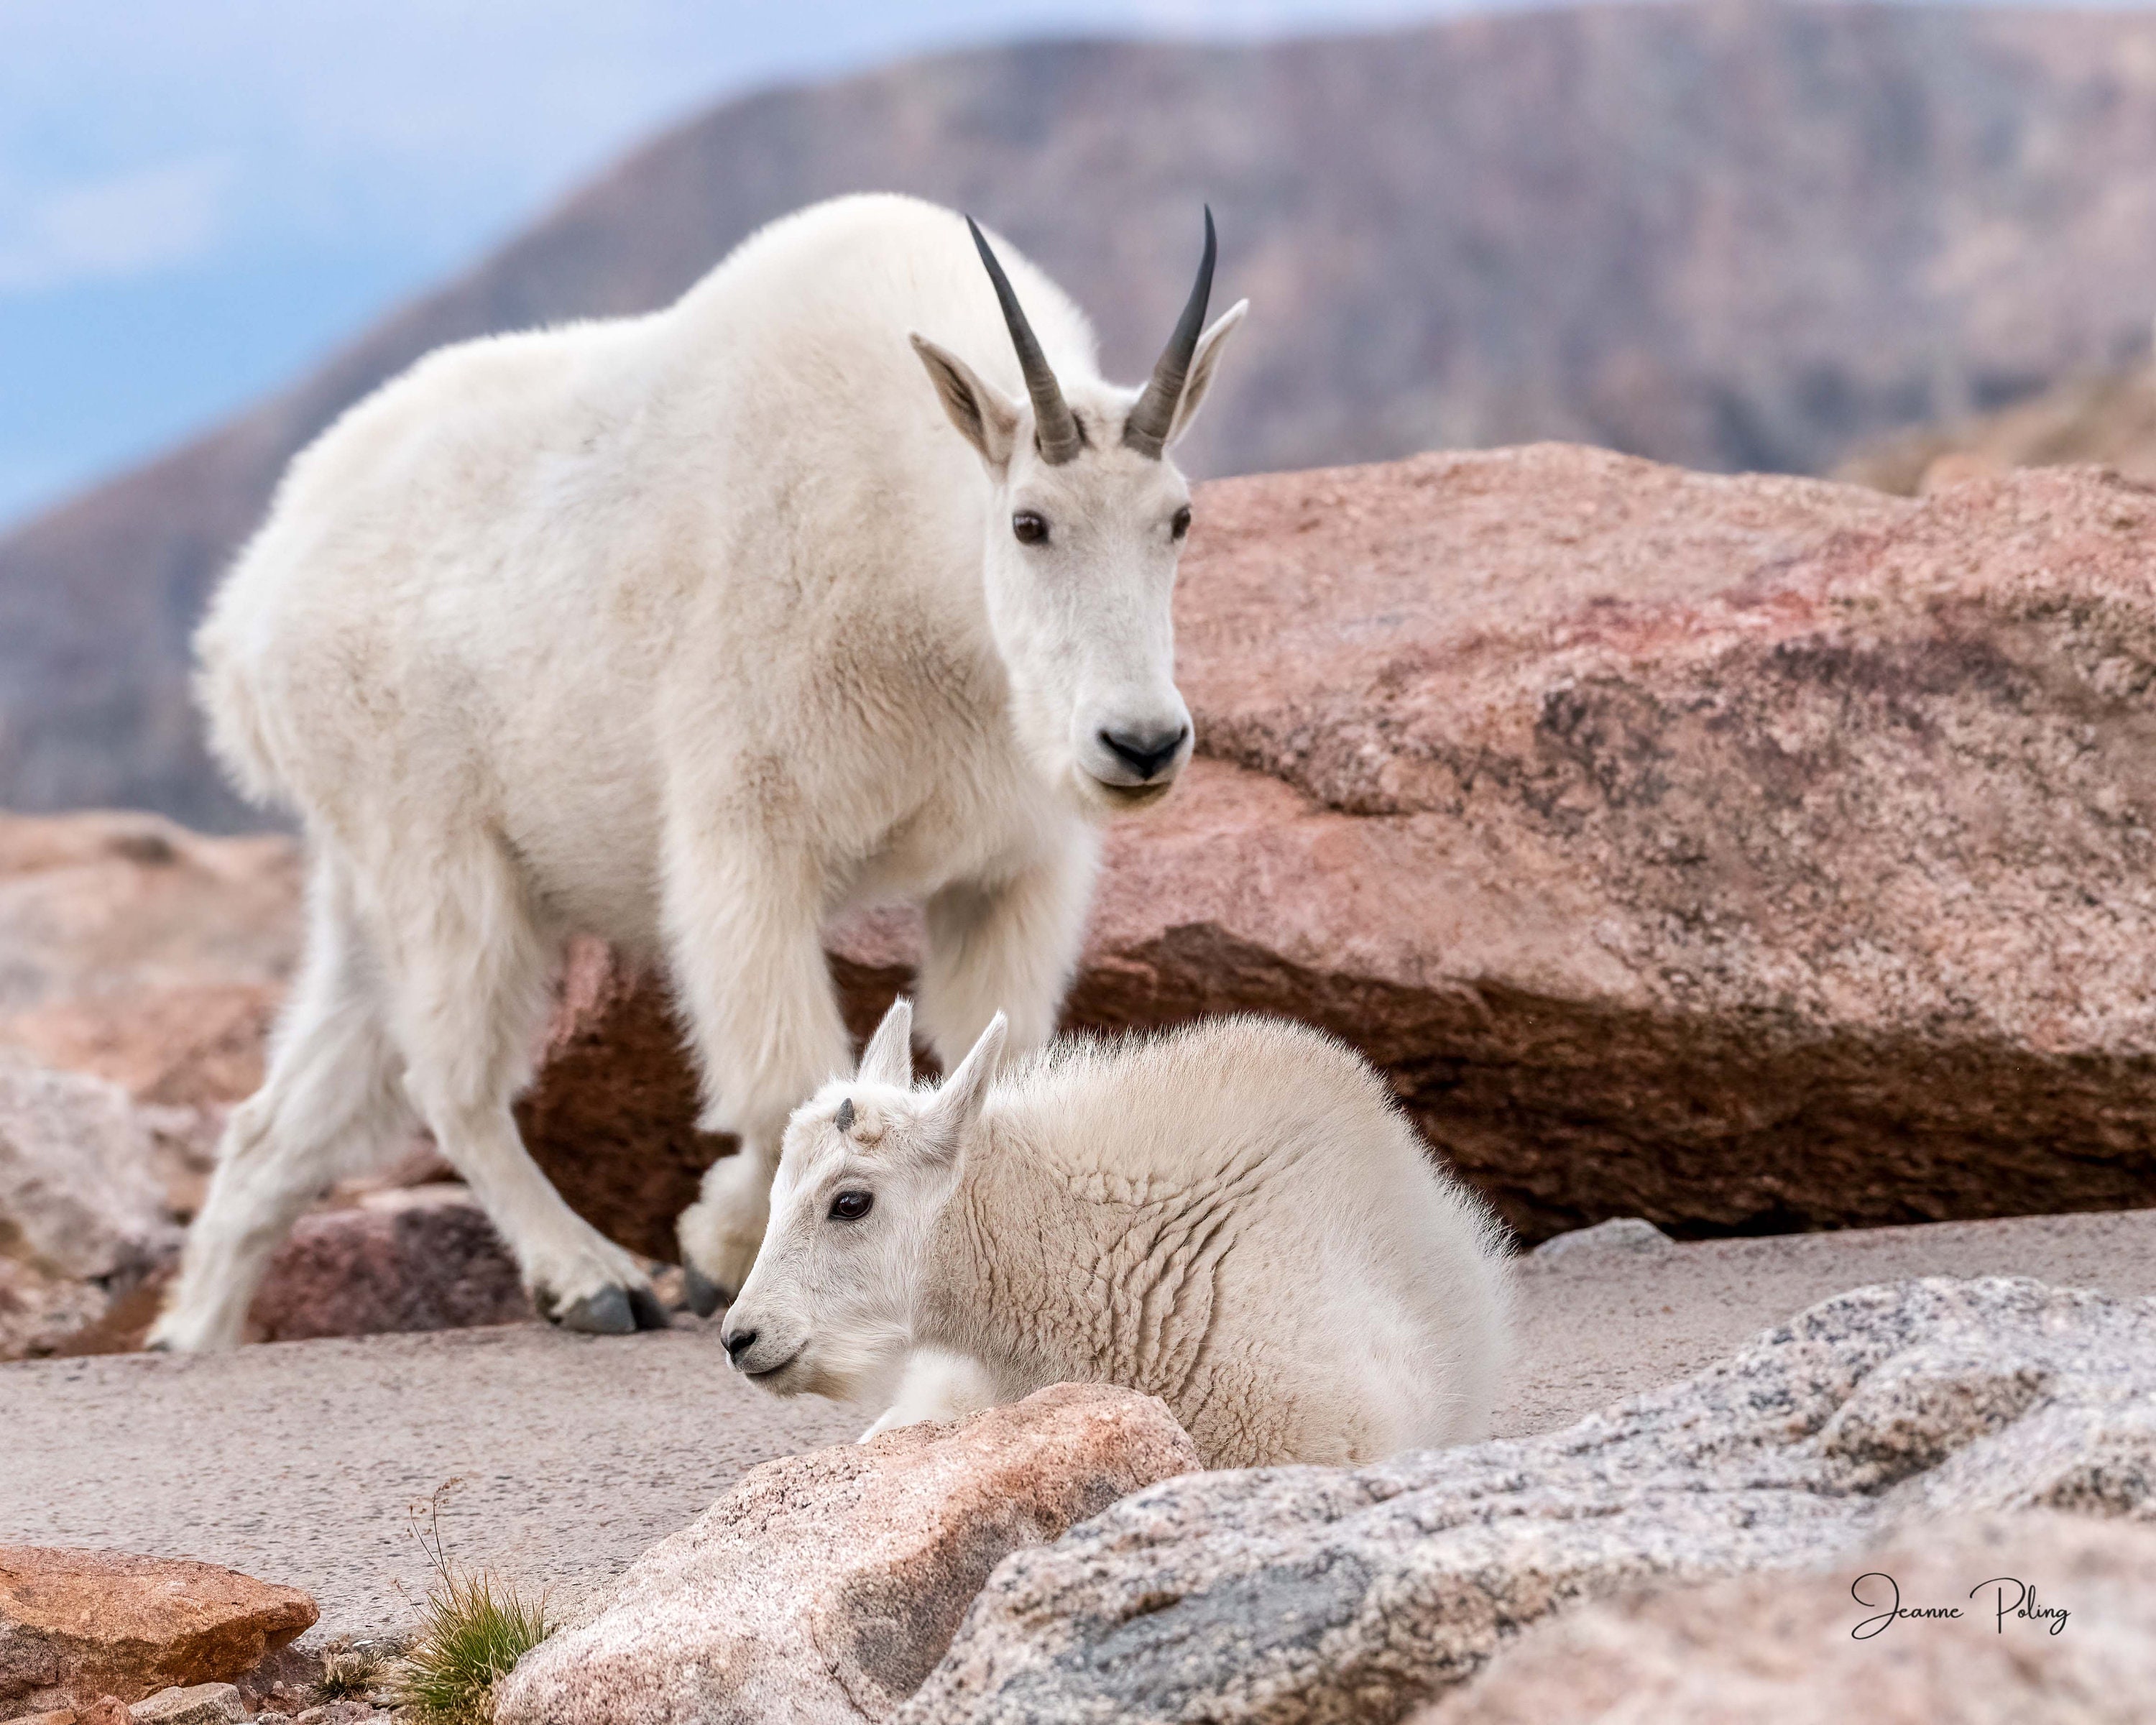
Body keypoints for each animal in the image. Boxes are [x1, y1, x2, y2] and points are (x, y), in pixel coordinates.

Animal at [151, 193, 1246, 1348]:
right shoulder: (750, 822)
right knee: (450, 1077)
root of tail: (246, 616)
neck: (928, 571)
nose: (1140, 744)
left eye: (1179, 518)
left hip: (365, 872)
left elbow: (991, 1056)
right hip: (434, 843)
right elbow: (783, 1077)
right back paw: (589, 1277)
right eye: (1031, 522)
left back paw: (193, 1331)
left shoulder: (1008, 865)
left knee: (285, 1119)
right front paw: (715, 1245)